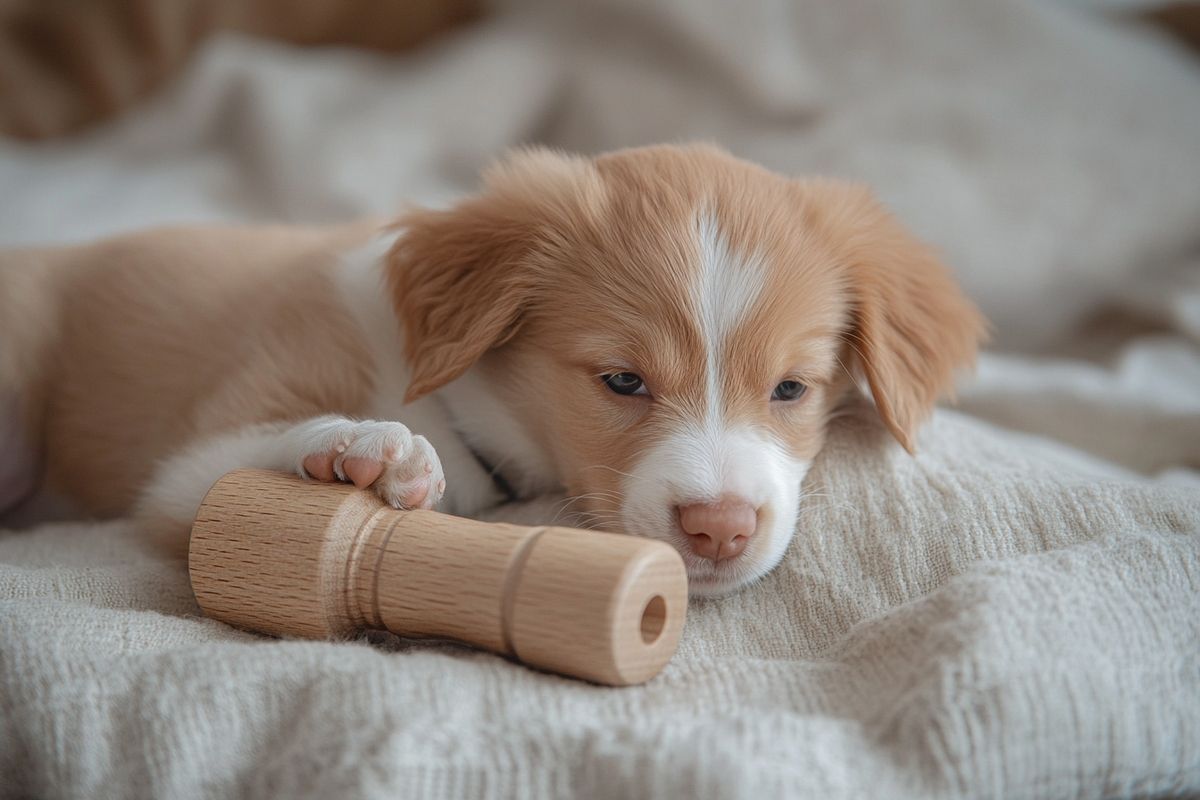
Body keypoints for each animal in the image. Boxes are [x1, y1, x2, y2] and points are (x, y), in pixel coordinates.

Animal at [0, 143, 984, 594]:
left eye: (790, 389)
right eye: (621, 381)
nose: (721, 530)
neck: (460, 405)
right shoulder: (191, 464)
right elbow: (222, 469)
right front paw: (364, 447)